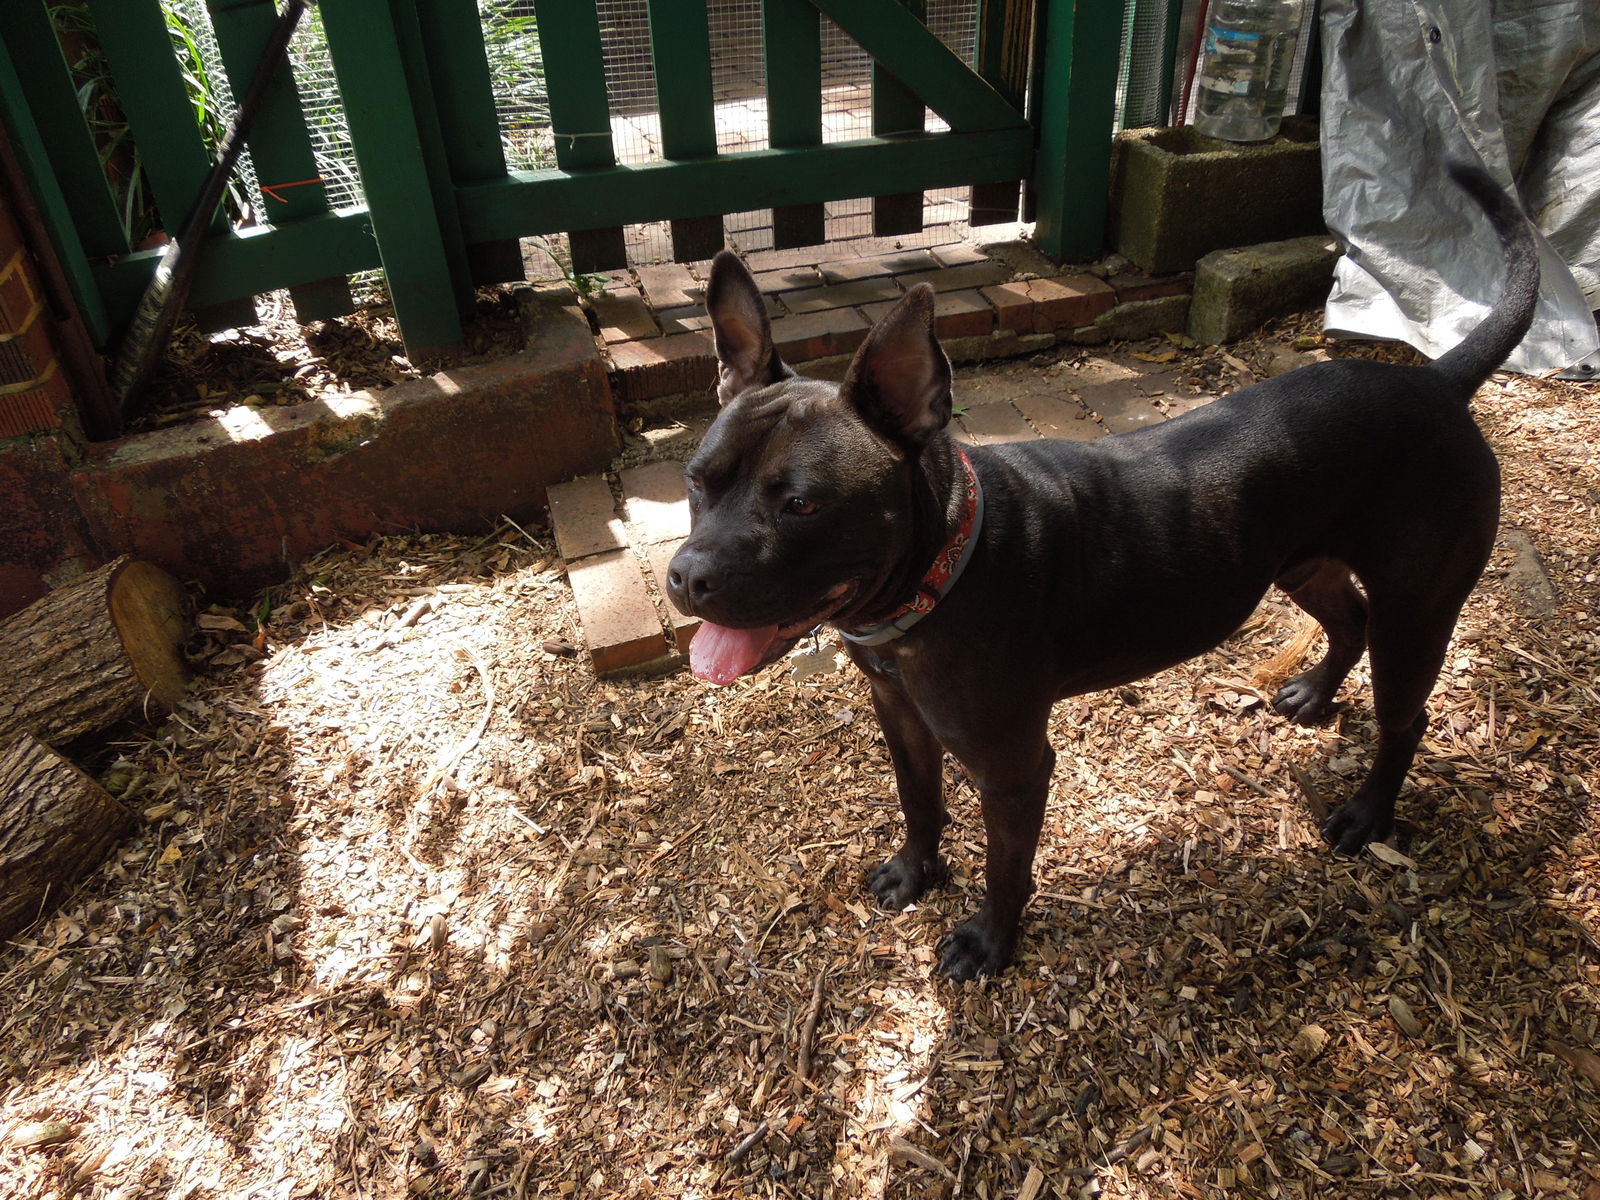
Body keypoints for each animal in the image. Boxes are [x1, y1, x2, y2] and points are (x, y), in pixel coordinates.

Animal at [662, 167, 1536, 979]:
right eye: (696, 480)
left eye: (801, 504)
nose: (684, 577)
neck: (942, 569)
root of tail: (1436, 380)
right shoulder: (901, 718)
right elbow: (919, 802)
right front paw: (917, 871)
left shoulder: (1013, 766)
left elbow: (1007, 866)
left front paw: (989, 941)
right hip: (1301, 563)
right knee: (1346, 618)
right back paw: (1316, 695)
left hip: (1416, 611)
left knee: (1406, 715)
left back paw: (1368, 815)